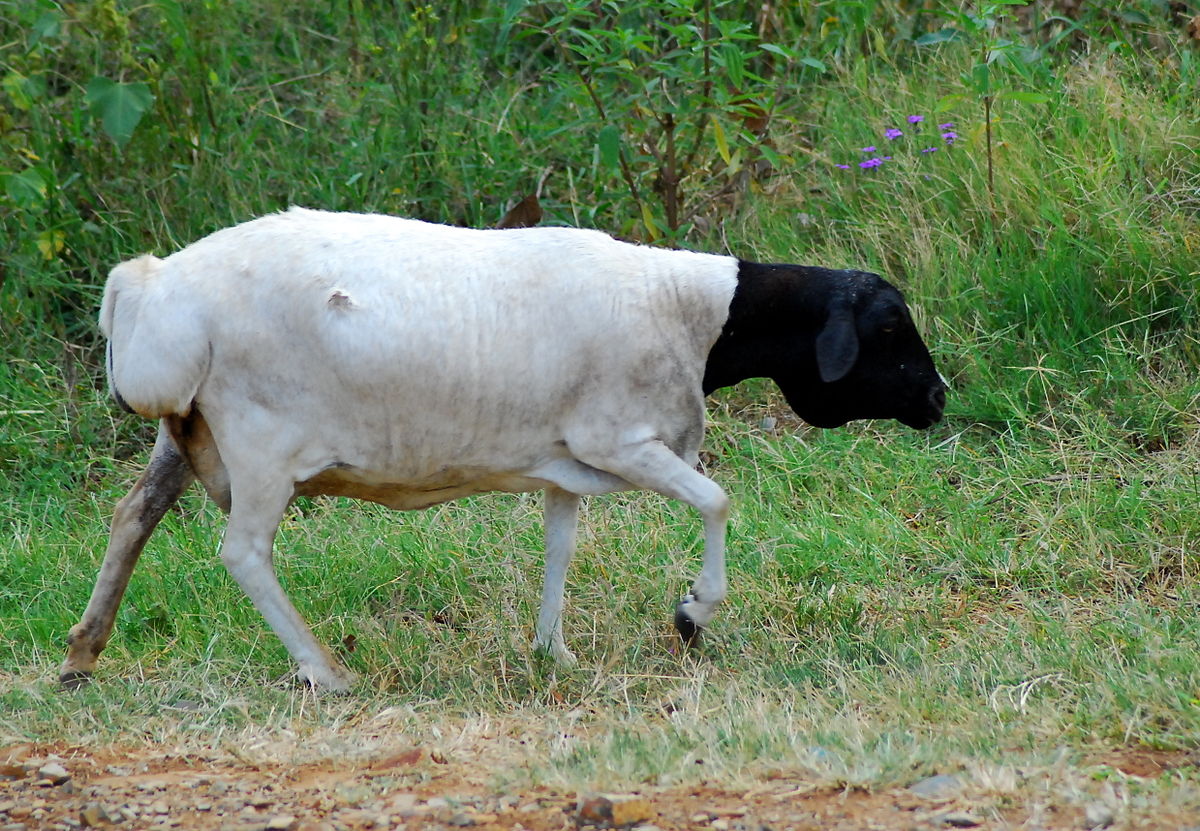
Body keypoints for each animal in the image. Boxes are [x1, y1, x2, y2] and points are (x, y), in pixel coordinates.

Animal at [60, 207, 946, 691]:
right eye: (889, 328)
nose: (938, 398)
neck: (690, 314)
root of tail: (149, 287)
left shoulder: (563, 458)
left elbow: (560, 545)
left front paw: (555, 654)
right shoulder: (621, 438)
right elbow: (717, 500)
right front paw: (693, 614)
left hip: (186, 432)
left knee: (131, 516)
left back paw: (82, 652)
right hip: (259, 439)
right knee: (242, 552)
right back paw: (326, 670)